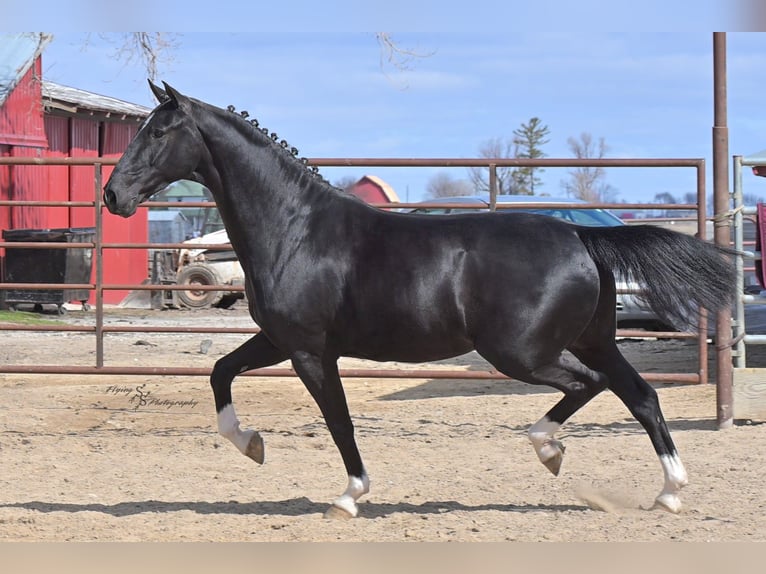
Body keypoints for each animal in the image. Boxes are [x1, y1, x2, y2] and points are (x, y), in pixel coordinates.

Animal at [103, 81, 735, 519]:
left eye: (157, 133)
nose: (113, 196)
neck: (295, 228)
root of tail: (580, 235)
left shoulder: (309, 350)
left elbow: (339, 421)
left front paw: (349, 497)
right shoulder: (278, 339)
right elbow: (219, 370)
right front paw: (252, 445)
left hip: (522, 353)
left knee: (591, 386)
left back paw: (550, 451)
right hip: (592, 339)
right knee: (641, 395)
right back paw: (668, 493)